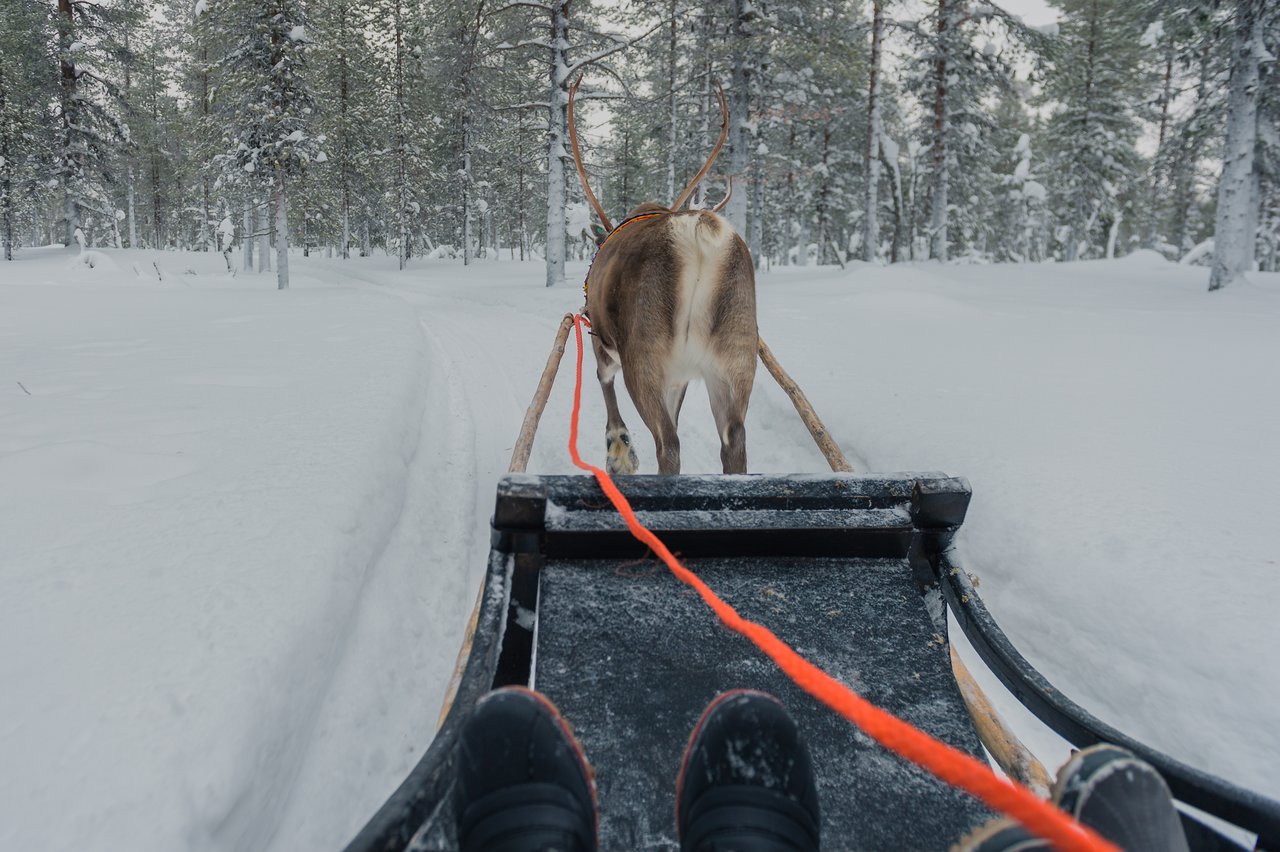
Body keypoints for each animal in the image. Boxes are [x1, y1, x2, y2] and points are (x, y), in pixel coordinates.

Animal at [569, 79, 757, 476]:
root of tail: (699, 231)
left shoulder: (601, 343)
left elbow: (603, 383)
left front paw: (619, 452)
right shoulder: (680, 376)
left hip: (643, 357)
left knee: (668, 443)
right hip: (735, 356)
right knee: (733, 439)